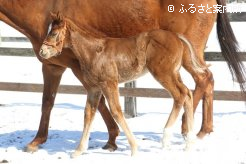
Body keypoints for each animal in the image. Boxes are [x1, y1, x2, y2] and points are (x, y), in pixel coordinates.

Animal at [39, 13, 206, 156]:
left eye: (54, 33)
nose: (42, 52)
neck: (94, 52)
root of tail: (176, 36)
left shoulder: (109, 83)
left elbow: (116, 111)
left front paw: (134, 148)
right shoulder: (94, 88)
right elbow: (88, 113)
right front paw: (78, 151)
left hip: (163, 74)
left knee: (180, 95)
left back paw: (166, 139)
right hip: (174, 73)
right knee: (187, 93)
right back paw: (189, 143)